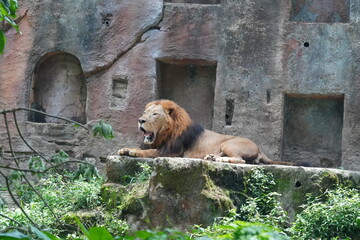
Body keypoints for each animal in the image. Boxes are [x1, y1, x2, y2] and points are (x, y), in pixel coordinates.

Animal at [118, 99, 296, 165]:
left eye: (155, 114)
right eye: (145, 112)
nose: (140, 120)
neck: (164, 135)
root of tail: (259, 148)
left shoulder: (173, 152)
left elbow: (150, 151)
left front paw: (133, 152)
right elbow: (144, 147)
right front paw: (125, 148)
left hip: (229, 144)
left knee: (241, 160)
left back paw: (219, 160)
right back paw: (212, 157)